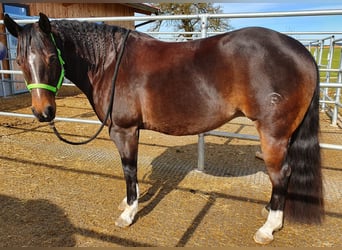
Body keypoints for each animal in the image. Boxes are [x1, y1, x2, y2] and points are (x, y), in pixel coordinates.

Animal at [4, 13, 324, 244]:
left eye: (51, 58)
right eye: (18, 60)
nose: (43, 112)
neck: (109, 62)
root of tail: (302, 52)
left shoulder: (124, 130)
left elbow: (129, 168)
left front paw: (129, 213)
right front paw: (128, 202)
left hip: (273, 135)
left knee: (281, 174)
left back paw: (269, 227)